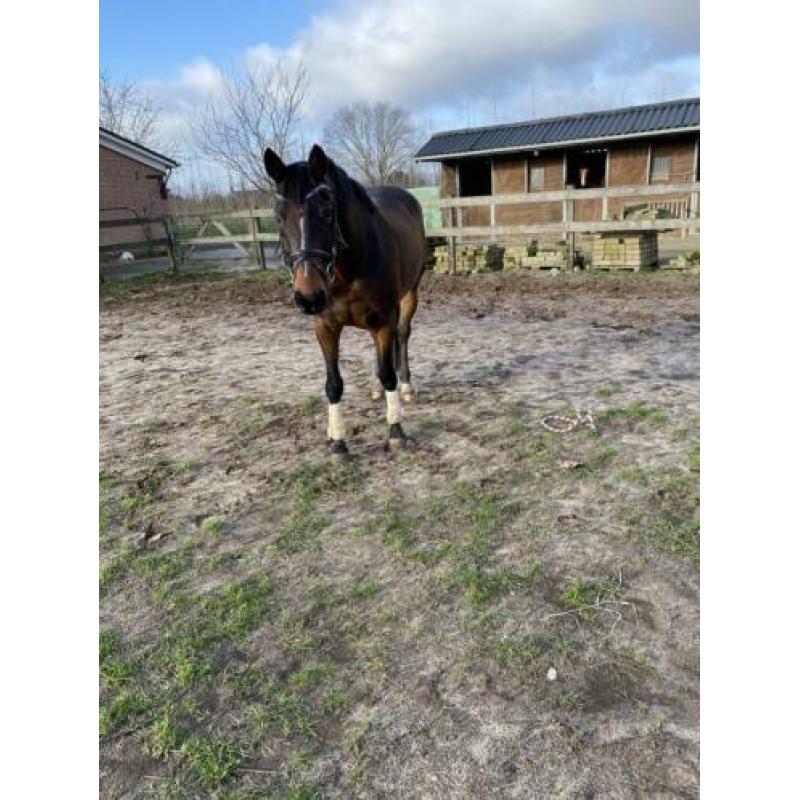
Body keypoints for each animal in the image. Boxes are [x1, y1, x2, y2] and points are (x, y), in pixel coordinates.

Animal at [264, 144, 426, 455]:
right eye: (278, 215)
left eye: (327, 211)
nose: (308, 296)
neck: (348, 269)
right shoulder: (325, 326)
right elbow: (333, 383)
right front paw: (337, 440)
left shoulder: (384, 321)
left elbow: (388, 373)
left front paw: (395, 430)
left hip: (409, 295)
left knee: (402, 335)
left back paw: (406, 387)